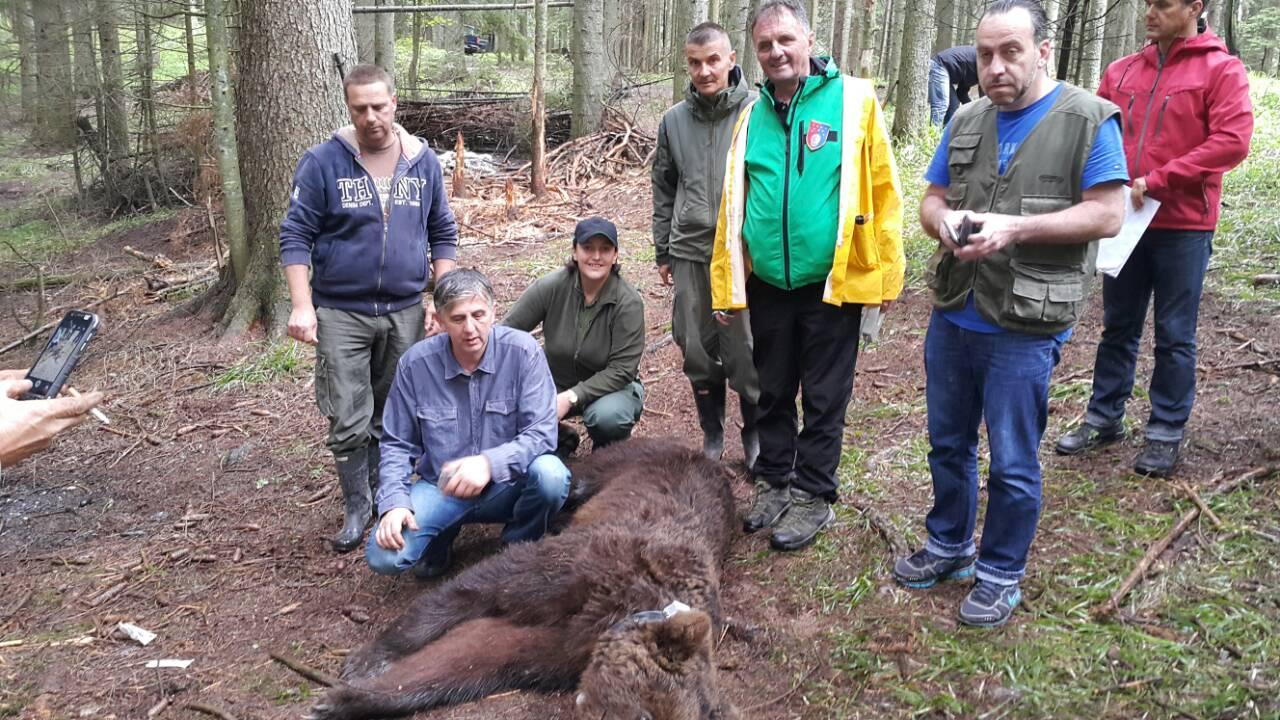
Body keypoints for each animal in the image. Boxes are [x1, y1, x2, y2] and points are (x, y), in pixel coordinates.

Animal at [308, 435, 742, 712]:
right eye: (645, 713)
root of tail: (705, 456)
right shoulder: (583, 572)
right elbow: (476, 591)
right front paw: (367, 661)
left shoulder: (566, 645)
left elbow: (477, 654)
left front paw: (346, 700)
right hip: (628, 464)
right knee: (573, 475)